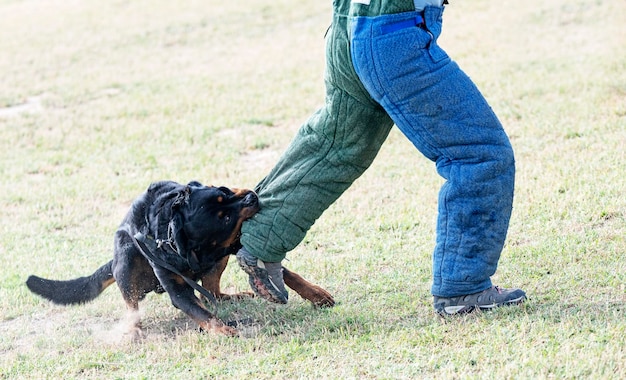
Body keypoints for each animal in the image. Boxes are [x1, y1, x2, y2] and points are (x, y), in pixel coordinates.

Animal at [26, 180, 334, 336]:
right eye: (224, 218)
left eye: (223, 193)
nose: (251, 197)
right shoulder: (178, 290)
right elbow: (204, 314)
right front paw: (226, 331)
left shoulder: (232, 244)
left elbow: (288, 274)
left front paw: (316, 294)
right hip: (125, 258)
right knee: (134, 305)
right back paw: (133, 331)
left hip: (216, 264)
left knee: (213, 291)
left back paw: (236, 295)